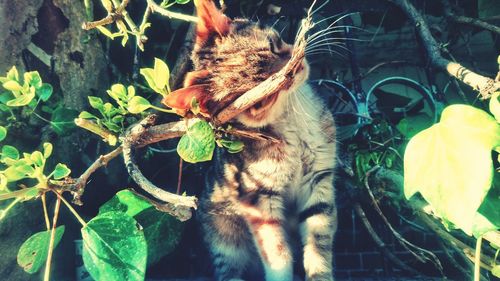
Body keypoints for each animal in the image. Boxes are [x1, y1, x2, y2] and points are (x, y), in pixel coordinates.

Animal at [170, 0, 338, 280]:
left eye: (273, 44)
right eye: (261, 97)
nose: (295, 68)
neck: (291, 119)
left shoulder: (319, 180)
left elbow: (318, 244)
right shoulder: (257, 198)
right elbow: (277, 253)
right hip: (224, 239)